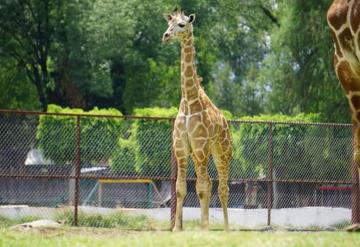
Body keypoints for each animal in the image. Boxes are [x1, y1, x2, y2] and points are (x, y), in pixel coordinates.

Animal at [162, 9, 232, 231]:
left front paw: (204, 228)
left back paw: (226, 229)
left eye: (182, 25)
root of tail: (227, 125)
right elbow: (180, 188)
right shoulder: (182, 149)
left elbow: (200, 188)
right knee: (209, 182)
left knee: (222, 188)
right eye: (169, 24)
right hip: (199, 155)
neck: (188, 100)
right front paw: (177, 228)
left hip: (222, 154)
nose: (166, 36)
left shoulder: (201, 148)